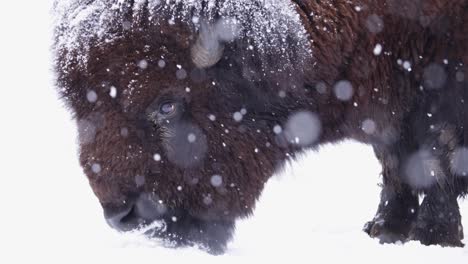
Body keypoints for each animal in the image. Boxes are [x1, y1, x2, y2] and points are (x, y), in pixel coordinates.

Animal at [53, 0, 466, 254]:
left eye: (167, 105)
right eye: (80, 109)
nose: (122, 217)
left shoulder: (437, 92)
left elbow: (435, 159)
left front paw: (434, 237)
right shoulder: (390, 110)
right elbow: (395, 162)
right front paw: (385, 229)